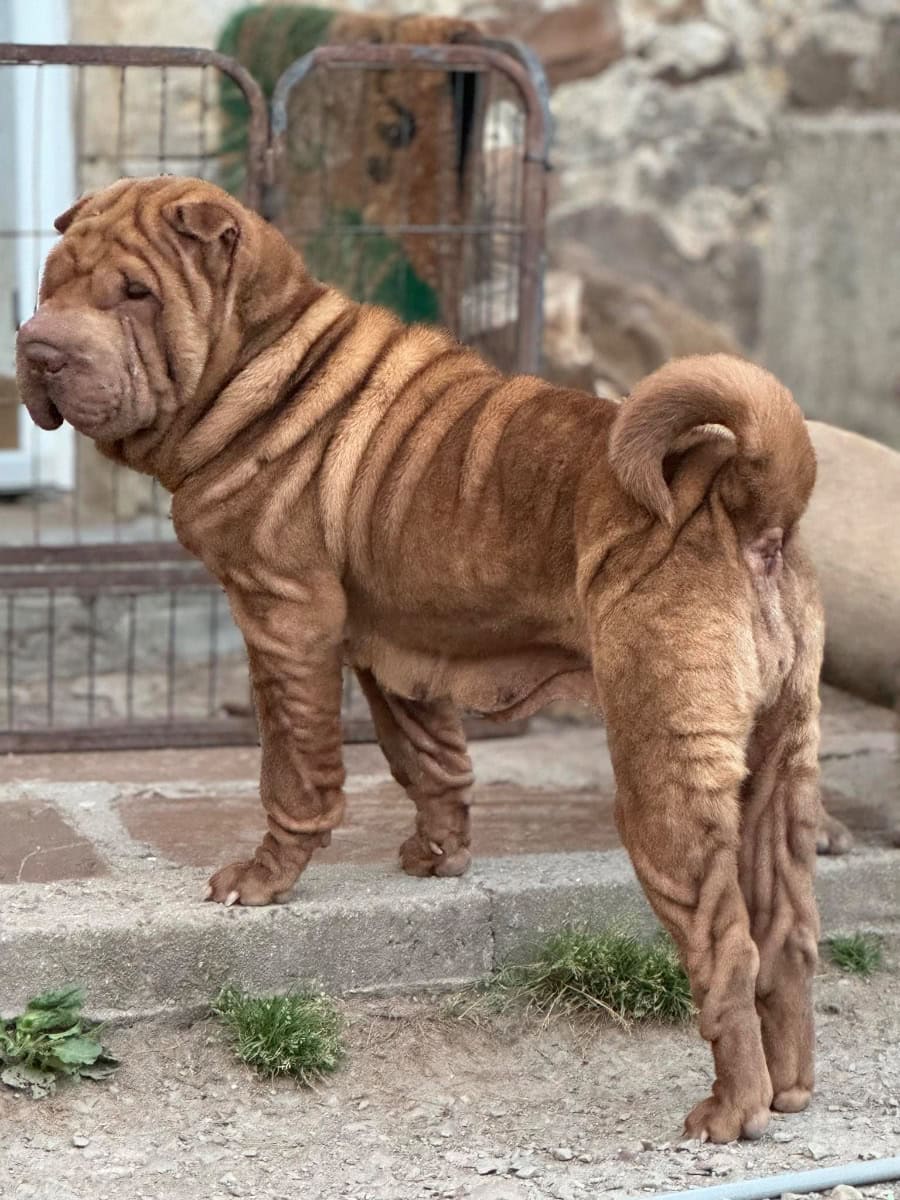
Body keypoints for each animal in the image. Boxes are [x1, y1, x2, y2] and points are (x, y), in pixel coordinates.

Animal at [17, 177, 830, 1142]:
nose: (37, 349)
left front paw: (264, 881)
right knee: (789, 933)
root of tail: (743, 501)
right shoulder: (399, 645)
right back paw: (791, 1088)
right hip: (779, 762)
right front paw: (439, 856)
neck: (260, 358)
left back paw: (731, 1109)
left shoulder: (283, 616)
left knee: (725, 941)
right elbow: (427, 756)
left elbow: (295, 767)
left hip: (660, 769)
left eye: (134, 293)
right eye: (51, 283)